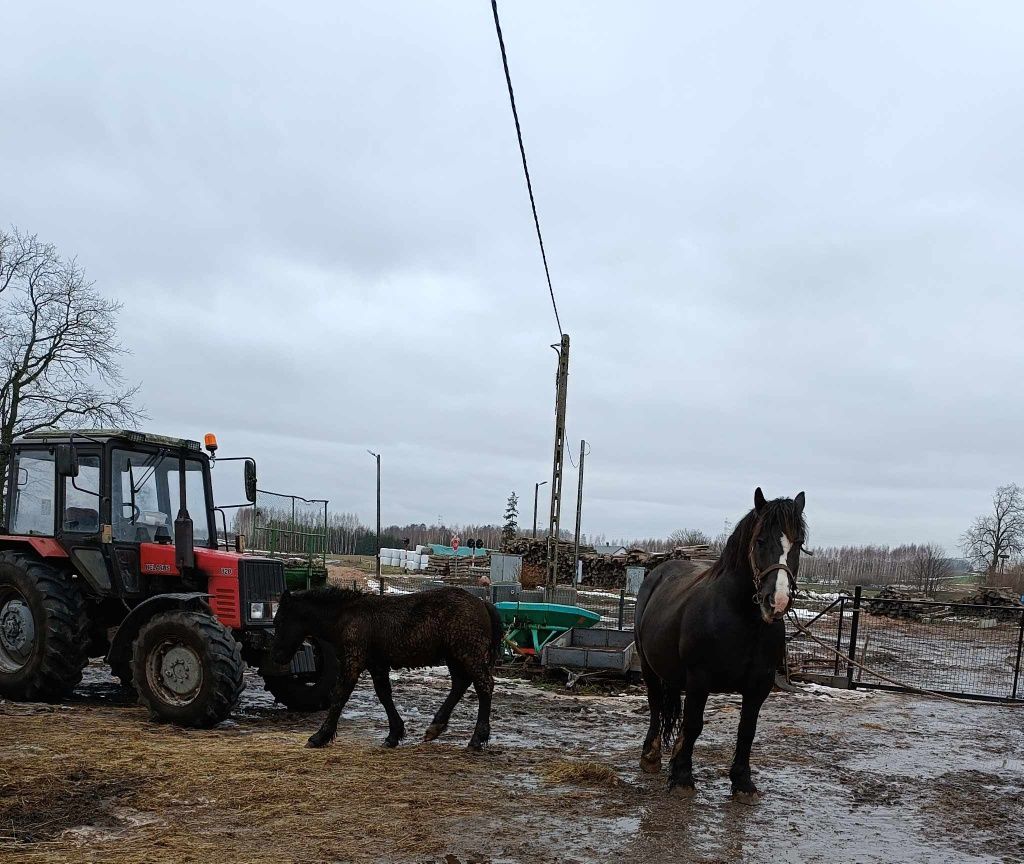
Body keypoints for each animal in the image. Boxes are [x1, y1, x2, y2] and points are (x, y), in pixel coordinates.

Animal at [268, 585, 499, 749]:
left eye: (279, 621)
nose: (277, 657)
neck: (347, 617)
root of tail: (482, 603)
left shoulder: (354, 660)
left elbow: (340, 695)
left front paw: (319, 736)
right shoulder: (376, 664)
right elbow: (384, 694)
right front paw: (394, 734)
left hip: (468, 652)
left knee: (484, 684)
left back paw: (477, 738)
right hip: (454, 656)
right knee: (461, 684)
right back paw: (435, 727)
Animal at [630, 485, 806, 802]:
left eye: (798, 543)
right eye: (760, 540)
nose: (776, 602)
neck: (742, 620)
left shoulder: (759, 685)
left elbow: (746, 730)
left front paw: (743, 782)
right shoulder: (700, 678)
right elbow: (694, 724)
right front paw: (683, 779)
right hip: (651, 668)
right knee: (656, 704)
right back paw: (651, 756)